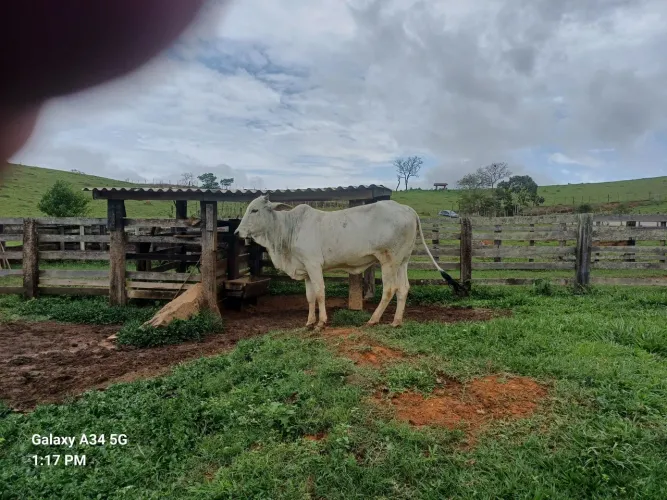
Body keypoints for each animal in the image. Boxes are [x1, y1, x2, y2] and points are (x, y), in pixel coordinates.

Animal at [234, 195, 463, 330]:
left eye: (254, 210)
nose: (237, 232)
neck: (289, 229)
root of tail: (407, 209)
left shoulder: (314, 265)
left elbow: (320, 292)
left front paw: (321, 322)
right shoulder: (306, 270)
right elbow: (309, 297)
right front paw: (309, 321)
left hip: (388, 261)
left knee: (390, 289)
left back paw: (373, 319)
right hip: (402, 261)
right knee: (403, 288)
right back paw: (396, 321)